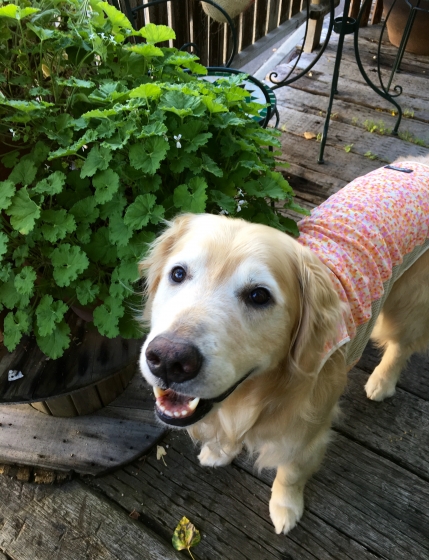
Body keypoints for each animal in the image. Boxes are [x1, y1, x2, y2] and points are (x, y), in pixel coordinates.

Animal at [139, 156, 429, 534]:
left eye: (259, 296)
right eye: (177, 274)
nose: (168, 360)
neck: (255, 394)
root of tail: (417, 164)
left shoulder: (306, 434)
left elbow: (290, 474)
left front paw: (286, 508)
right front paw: (220, 451)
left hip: (409, 301)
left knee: (402, 345)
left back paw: (382, 380)